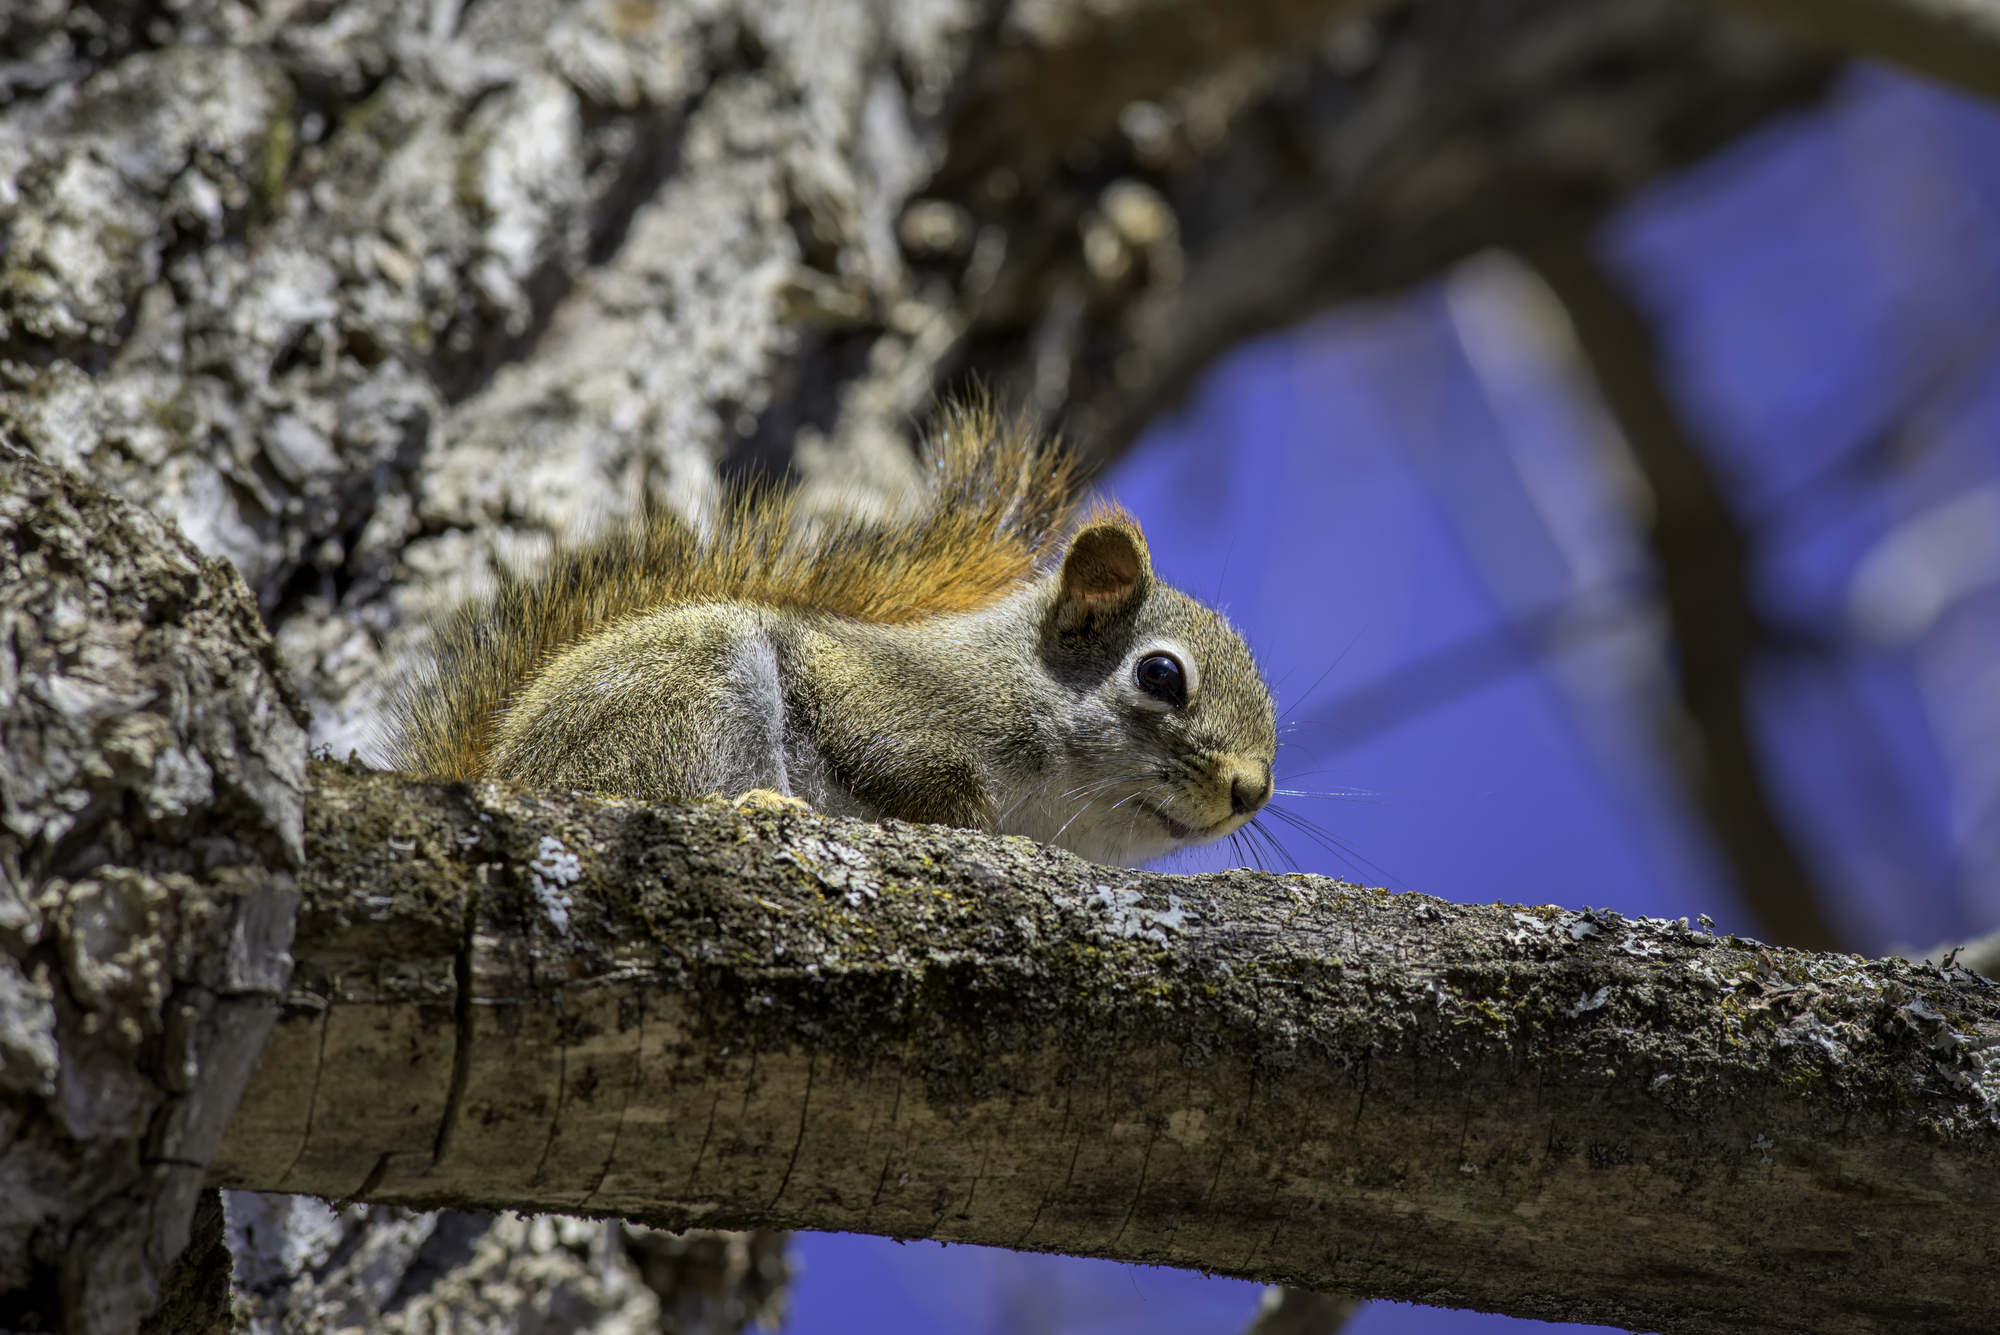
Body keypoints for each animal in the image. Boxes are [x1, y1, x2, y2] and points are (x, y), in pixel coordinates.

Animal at [387, 403, 1277, 867]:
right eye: (1160, 676)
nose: (1251, 789)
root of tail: (502, 769)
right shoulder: (889, 696)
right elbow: (893, 757)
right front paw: (960, 817)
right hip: (691, 698)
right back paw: (762, 800)